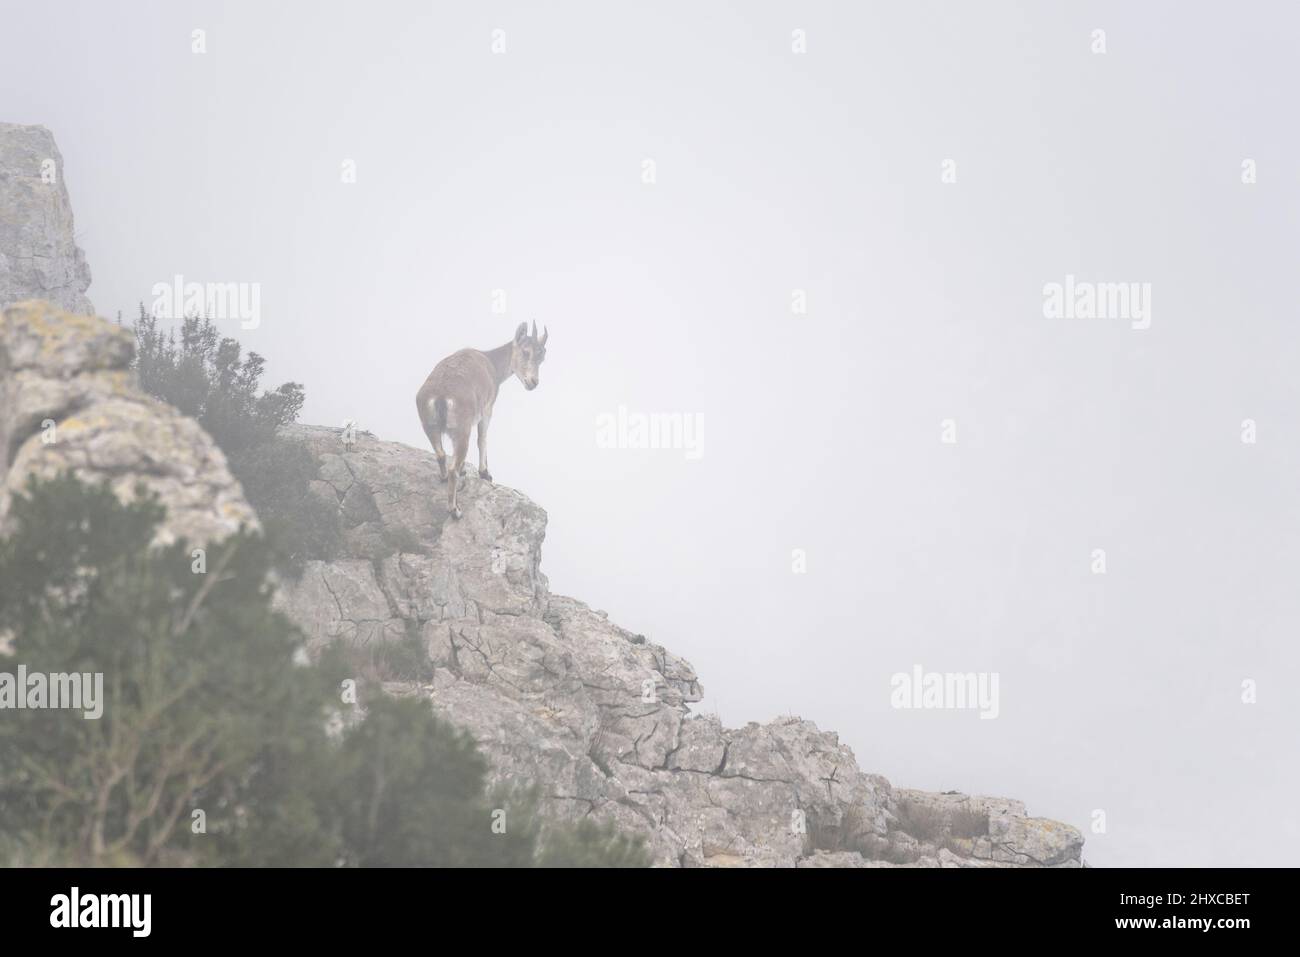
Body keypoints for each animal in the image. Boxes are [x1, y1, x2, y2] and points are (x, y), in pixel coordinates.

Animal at [415, 321, 548, 519]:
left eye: (542, 357)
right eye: (526, 352)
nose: (533, 382)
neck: (492, 363)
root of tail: (440, 396)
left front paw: (468, 470)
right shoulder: (487, 409)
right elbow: (482, 438)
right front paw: (485, 473)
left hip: (429, 425)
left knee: (441, 455)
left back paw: (444, 478)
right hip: (462, 430)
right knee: (454, 466)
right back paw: (455, 510)